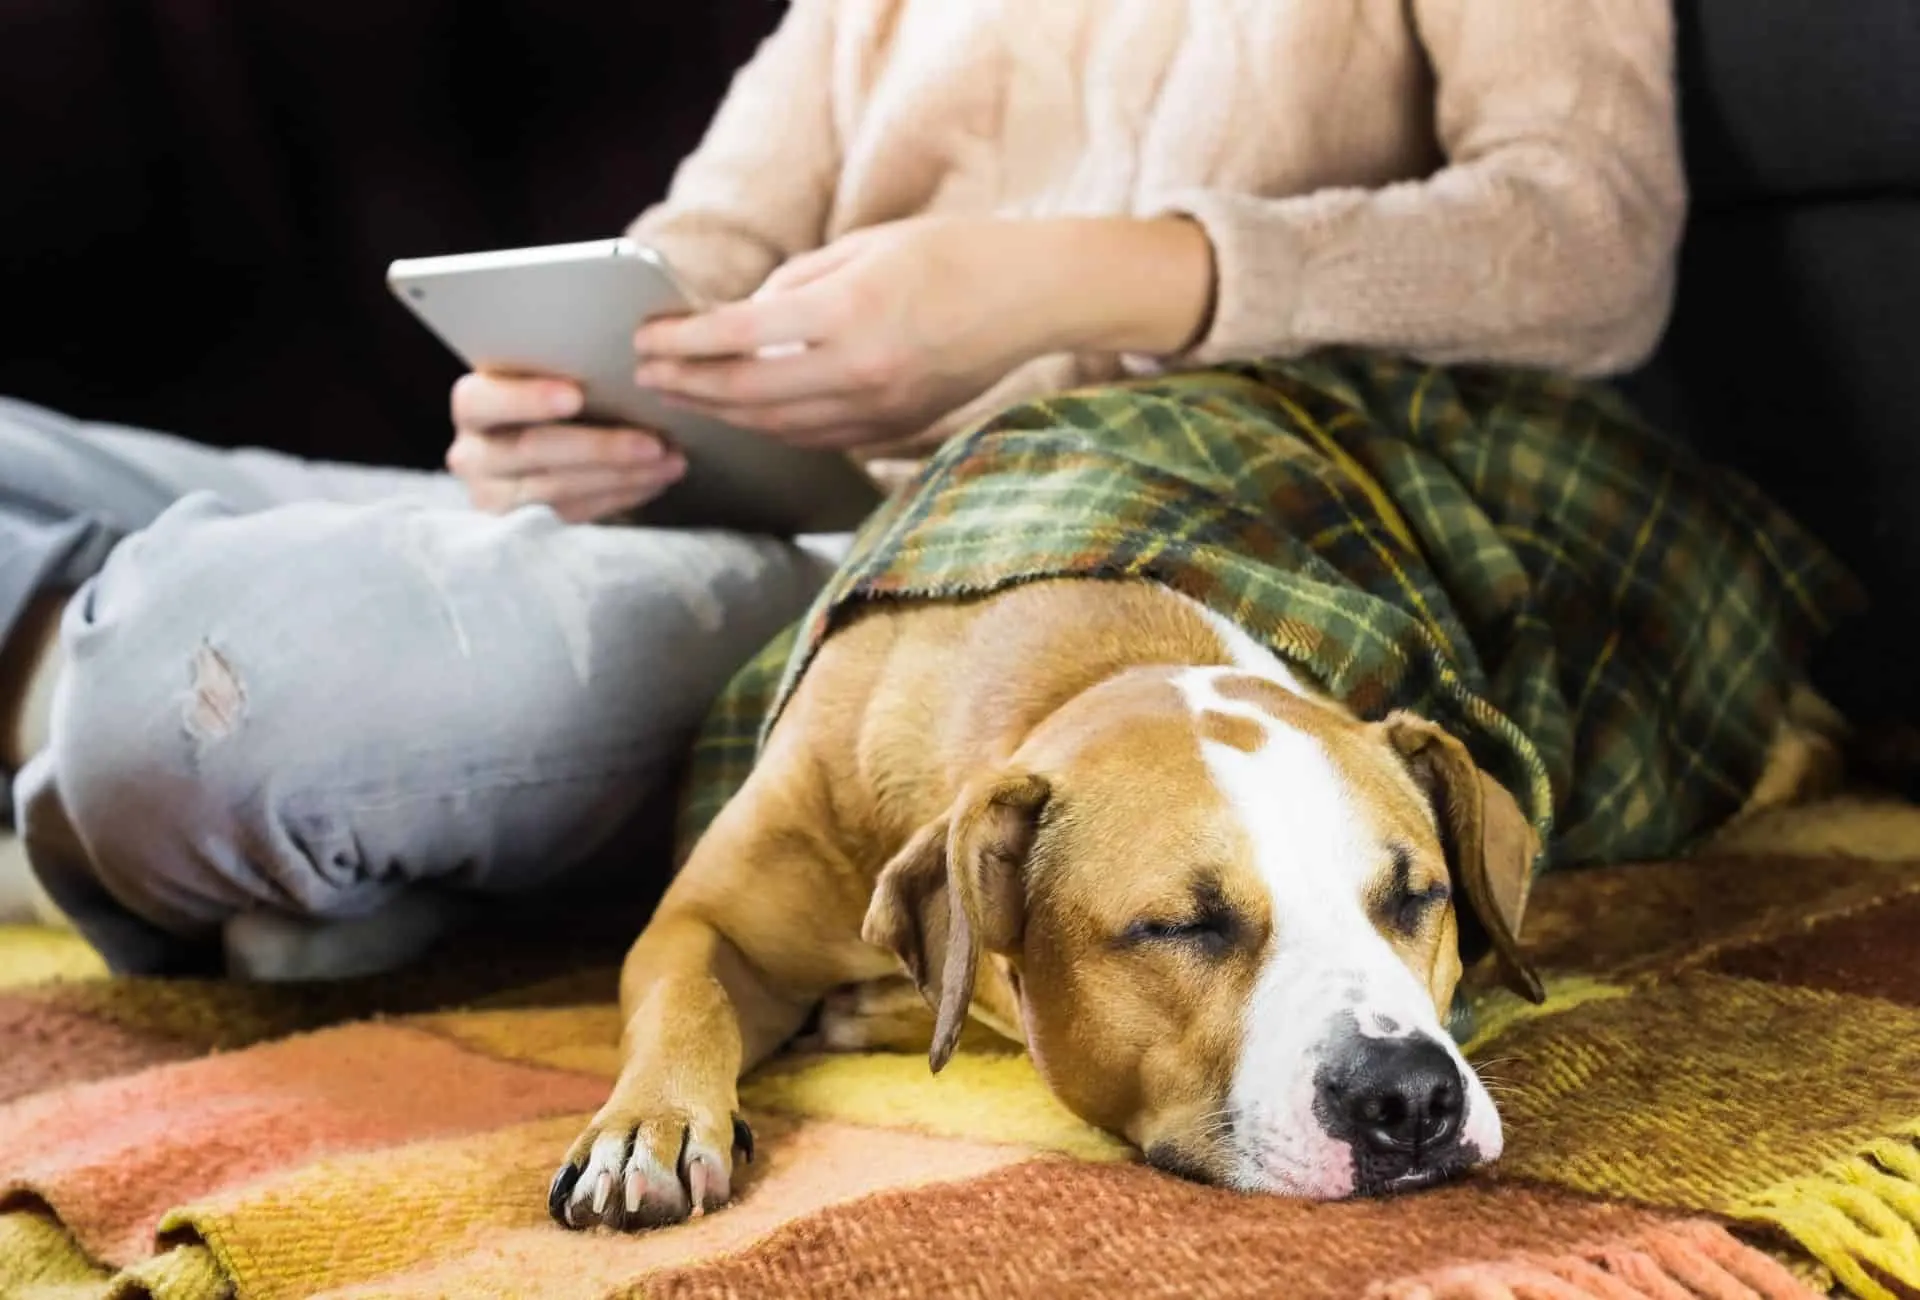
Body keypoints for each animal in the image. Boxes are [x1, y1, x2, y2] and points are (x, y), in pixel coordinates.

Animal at [549, 572, 1835, 1221]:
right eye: (1178, 926)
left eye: (1415, 896)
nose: (1414, 1099)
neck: (1089, 655)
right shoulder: (699, 923)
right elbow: (688, 999)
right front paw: (649, 1124)